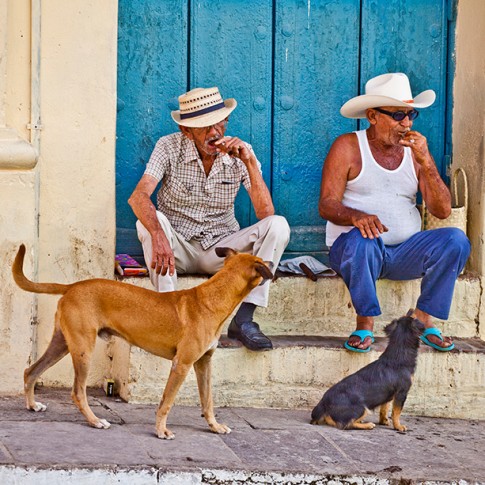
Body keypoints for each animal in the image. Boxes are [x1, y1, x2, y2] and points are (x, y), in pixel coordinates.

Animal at [11, 244, 272, 436]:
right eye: (261, 260)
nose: (272, 263)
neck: (213, 298)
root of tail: (72, 286)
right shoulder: (182, 364)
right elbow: (167, 401)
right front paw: (161, 430)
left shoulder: (203, 363)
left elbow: (208, 400)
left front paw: (214, 426)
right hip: (83, 350)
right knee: (77, 392)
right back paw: (95, 421)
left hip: (62, 344)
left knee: (30, 371)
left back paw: (33, 405)